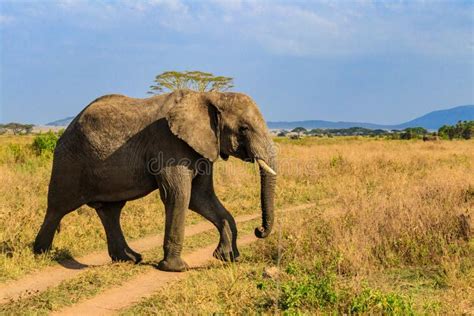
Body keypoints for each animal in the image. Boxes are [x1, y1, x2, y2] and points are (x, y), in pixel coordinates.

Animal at [33, 88, 276, 272]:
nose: (258, 231)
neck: (208, 96)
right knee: (58, 207)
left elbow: (201, 197)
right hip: (69, 161)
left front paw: (227, 257)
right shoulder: (169, 144)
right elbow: (179, 195)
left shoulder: (202, 148)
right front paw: (175, 268)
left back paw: (130, 258)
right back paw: (41, 254)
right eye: (244, 128)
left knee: (110, 211)